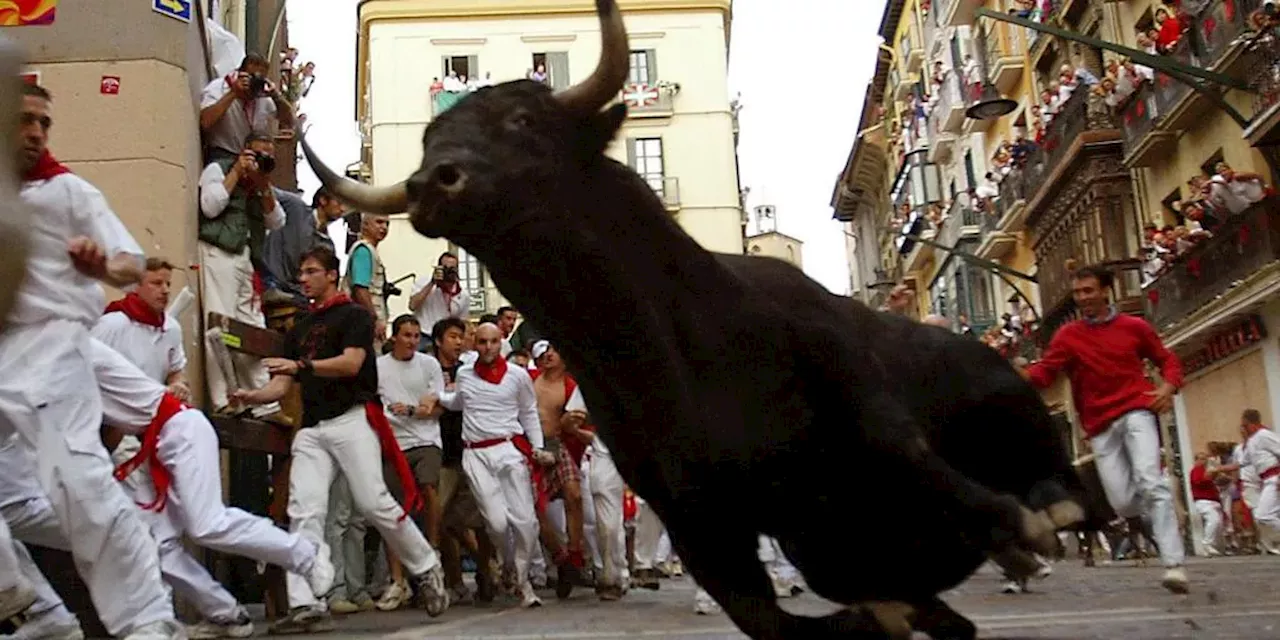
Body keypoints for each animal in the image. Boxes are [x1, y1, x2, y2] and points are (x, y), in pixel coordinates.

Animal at [302, 2, 1090, 637]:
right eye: (429, 143)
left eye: (523, 119)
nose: (431, 183)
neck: (671, 349)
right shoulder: (703, 526)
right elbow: (780, 619)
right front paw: (874, 617)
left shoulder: (860, 404)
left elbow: (919, 461)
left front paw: (1019, 528)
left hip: (1009, 402)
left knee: (1056, 478)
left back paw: (1043, 523)